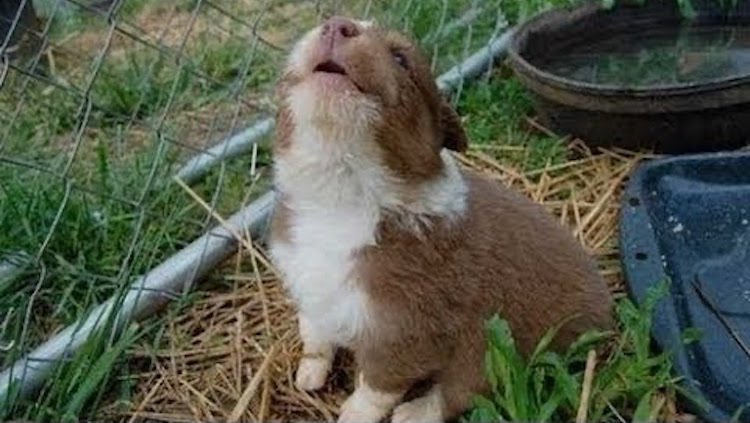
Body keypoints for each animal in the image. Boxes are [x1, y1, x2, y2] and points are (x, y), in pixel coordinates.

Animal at [270, 16, 616, 423]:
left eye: (401, 58)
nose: (338, 25)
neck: (341, 197)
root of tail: (606, 309)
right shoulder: (307, 285)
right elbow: (314, 330)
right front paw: (309, 372)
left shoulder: (405, 333)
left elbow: (377, 386)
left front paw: (352, 413)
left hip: (494, 347)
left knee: (462, 391)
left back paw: (413, 413)